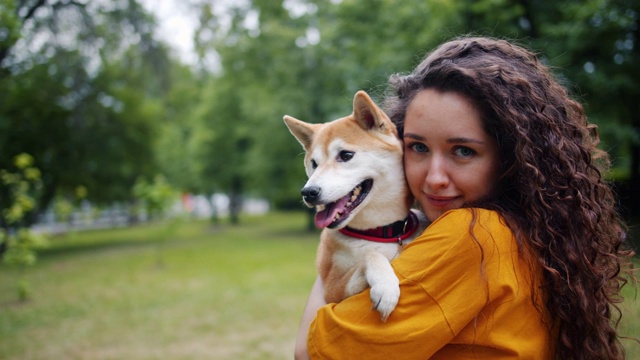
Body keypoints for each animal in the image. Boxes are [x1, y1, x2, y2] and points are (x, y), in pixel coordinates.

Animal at [284, 90, 424, 320]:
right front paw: (385, 286)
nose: (308, 192)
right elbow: (370, 255)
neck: (381, 232)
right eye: (314, 164)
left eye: (346, 155)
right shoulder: (332, 289)